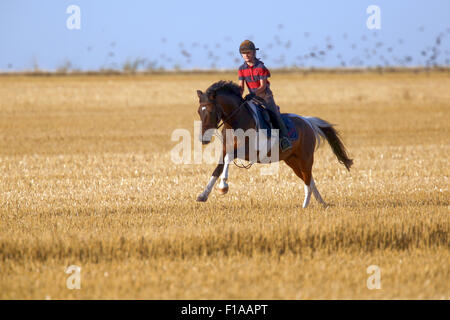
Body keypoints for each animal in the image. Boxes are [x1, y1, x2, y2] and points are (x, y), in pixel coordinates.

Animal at [195, 80, 354, 208]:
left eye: (210, 111)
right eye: (199, 111)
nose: (204, 138)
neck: (236, 122)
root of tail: (308, 121)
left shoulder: (247, 152)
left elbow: (227, 160)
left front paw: (223, 187)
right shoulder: (225, 150)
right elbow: (218, 169)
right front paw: (203, 195)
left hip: (306, 158)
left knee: (308, 179)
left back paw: (305, 205)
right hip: (292, 161)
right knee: (308, 179)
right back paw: (321, 202)